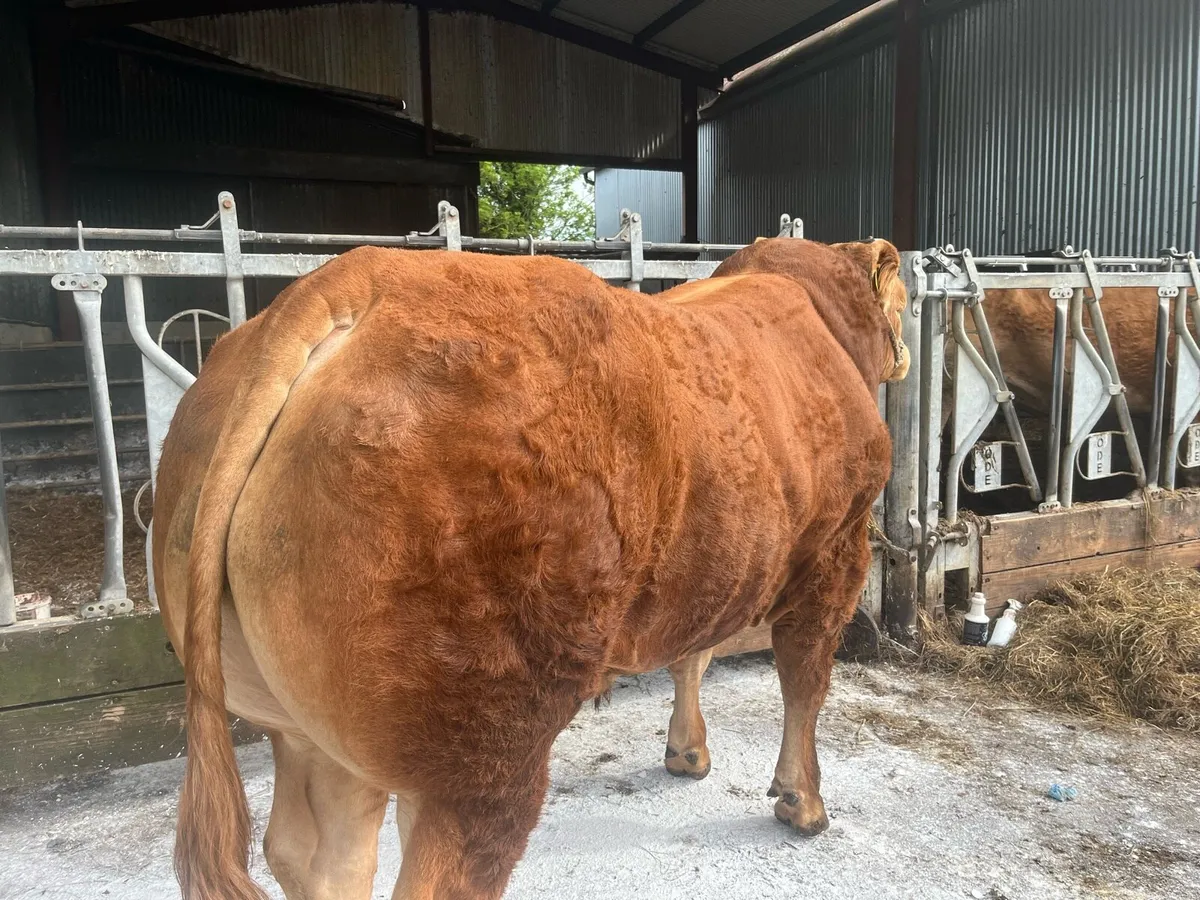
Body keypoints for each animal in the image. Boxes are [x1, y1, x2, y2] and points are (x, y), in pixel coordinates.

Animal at [153, 237, 909, 900]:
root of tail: (352, 279)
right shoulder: (838, 549)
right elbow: (804, 679)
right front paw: (802, 801)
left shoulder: (713, 561)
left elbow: (692, 654)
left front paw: (686, 752)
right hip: (480, 749)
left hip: (308, 736)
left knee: (316, 857)